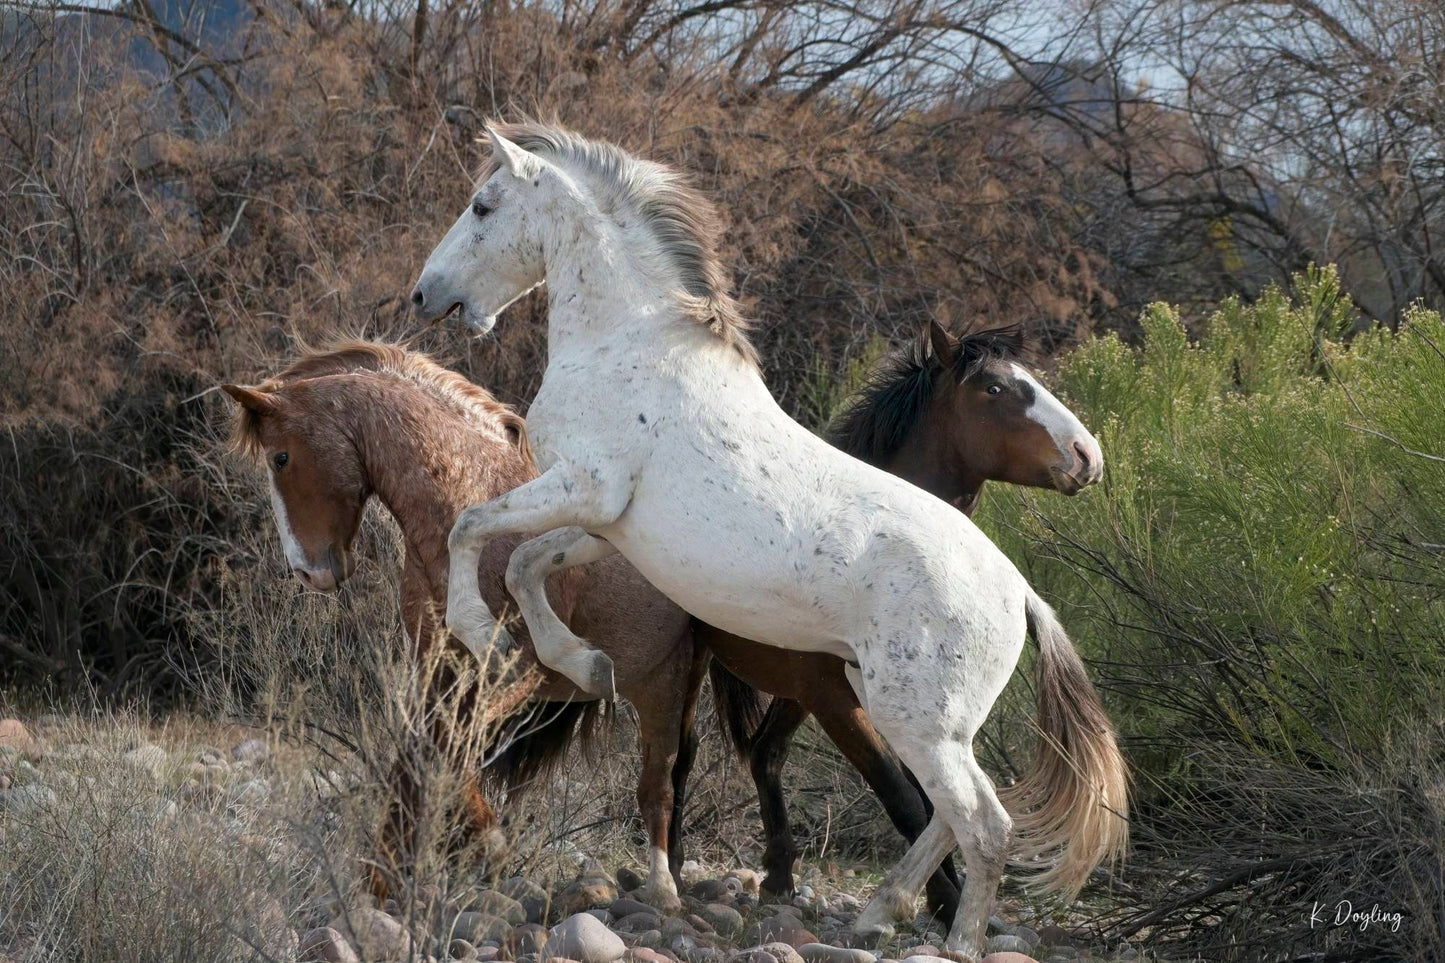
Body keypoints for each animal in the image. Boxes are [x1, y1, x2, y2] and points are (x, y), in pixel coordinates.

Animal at [220, 341, 705, 910]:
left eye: (280, 457)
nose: (305, 571)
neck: (464, 503)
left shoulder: (514, 675)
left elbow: (442, 751)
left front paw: (480, 844)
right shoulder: (437, 669)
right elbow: (418, 752)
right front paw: (385, 877)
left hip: (667, 684)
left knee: (659, 786)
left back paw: (663, 889)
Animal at [691, 318, 1103, 918]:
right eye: (995, 389)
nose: (1086, 455)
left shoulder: (905, 704)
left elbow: (936, 802)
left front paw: (937, 897)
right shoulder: (837, 697)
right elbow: (903, 797)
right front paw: (941, 902)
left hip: (798, 695)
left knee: (766, 755)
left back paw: (780, 875)